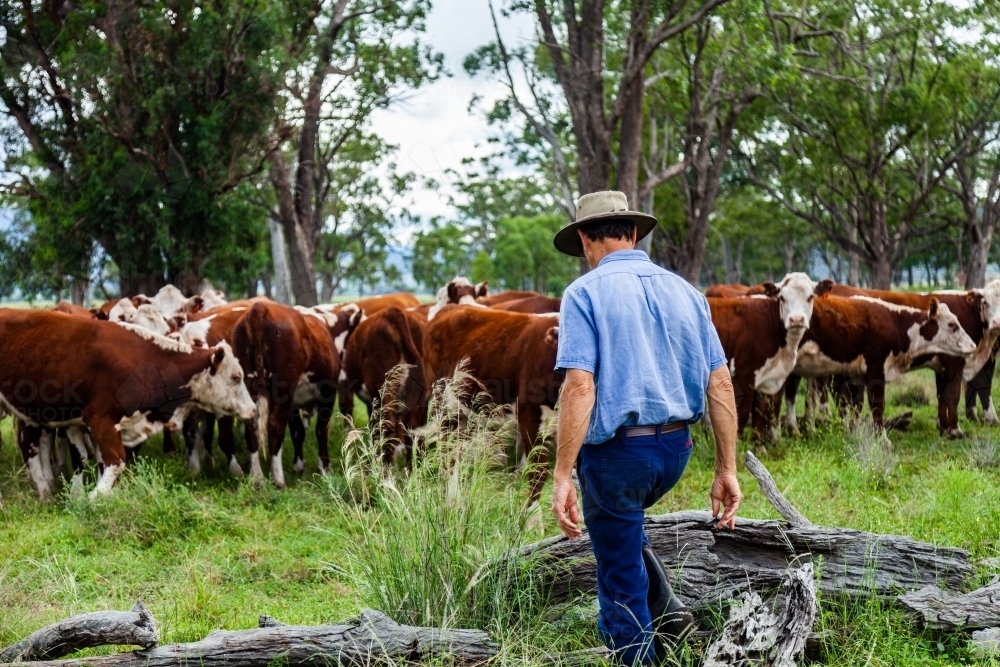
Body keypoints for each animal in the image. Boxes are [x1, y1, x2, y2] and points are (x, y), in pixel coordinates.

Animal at [0, 310, 256, 498]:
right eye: (236, 377)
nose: (252, 409)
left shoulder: (77, 421)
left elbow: (87, 459)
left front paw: (77, 496)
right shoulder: (100, 419)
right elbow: (116, 461)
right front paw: (95, 498)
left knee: (30, 446)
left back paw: (45, 493)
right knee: (30, 448)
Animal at [232, 302, 342, 490]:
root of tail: (260, 308)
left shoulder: (294, 405)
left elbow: (297, 431)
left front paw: (299, 465)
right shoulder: (328, 393)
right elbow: (321, 430)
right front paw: (324, 468)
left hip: (248, 386)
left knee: (250, 428)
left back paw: (257, 478)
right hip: (283, 389)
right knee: (275, 426)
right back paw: (278, 480)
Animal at [422, 306, 564, 506]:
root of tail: (451, 308)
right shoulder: (529, 416)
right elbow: (538, 472)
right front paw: (532, 515)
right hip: (444, 404)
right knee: (448, 453)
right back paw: (452, 500)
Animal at [712, 274, 836, 440]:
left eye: (810, 297)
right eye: (782, 297)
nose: (796, 320)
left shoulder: (771, 379)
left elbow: (760, 413)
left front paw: (759, 443)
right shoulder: (744, 376)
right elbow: (742, 415)